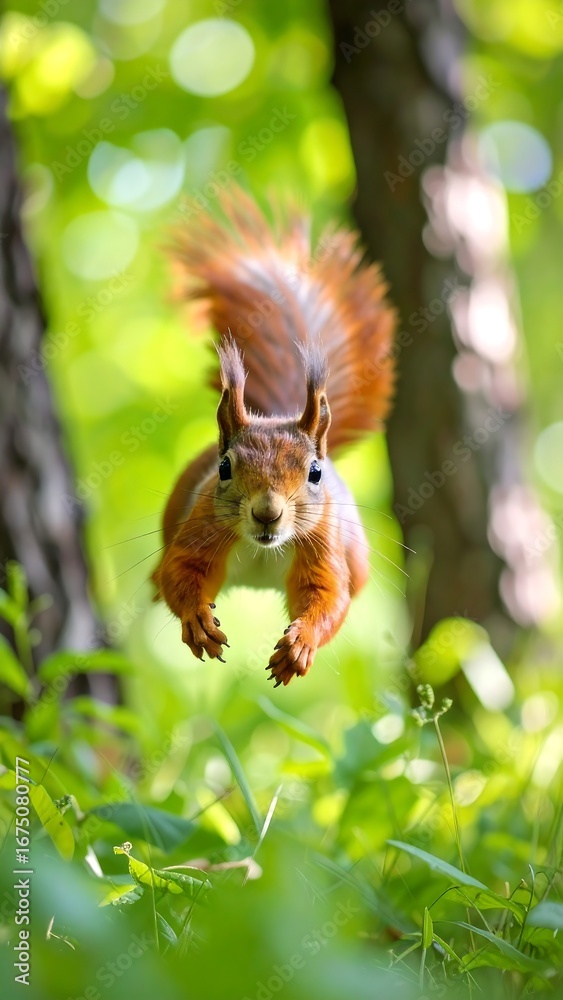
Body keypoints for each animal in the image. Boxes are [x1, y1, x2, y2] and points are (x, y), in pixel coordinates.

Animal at [152, 189, 396, 687]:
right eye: (225, 468)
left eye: (315, 473)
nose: (267, 512)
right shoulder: (200, 528)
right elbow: (178, 573)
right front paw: (198, 622)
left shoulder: (322, 546)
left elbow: (329, 597)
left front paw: (299, 645)